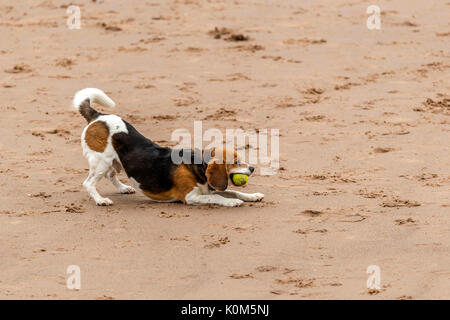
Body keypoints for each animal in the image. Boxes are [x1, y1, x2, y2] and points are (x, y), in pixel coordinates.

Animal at [73, 87, 264, 208]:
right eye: (236, 162)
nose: (253, 168)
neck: (198, 167)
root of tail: (98, 115)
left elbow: (233, 192)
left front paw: (252, 196)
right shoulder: (190, 197)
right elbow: (217, 196)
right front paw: (231, 202)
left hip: (112, 161)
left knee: (110, 175)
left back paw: (123, 188)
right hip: (101, 161)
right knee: (89, 183)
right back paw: (101, 200)